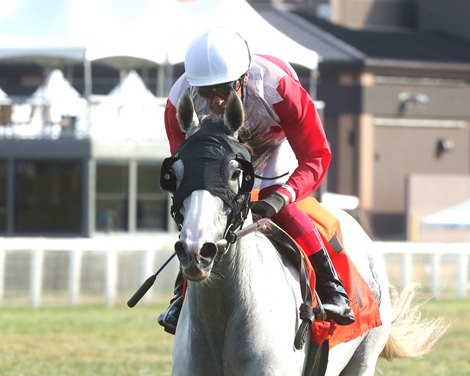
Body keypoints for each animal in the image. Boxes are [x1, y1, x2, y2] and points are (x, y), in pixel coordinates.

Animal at [162, 89, 448, 374]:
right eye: (174, 174)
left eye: (235, 173)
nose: (197, 250)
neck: (222, 314)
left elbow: (315, 154)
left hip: (364, 358)